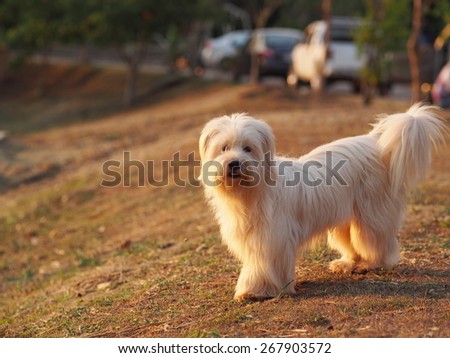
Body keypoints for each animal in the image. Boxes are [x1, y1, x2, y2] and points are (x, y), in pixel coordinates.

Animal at [200, 105, 446, 300]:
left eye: (248, 148)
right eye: (224, 147)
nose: (234, 163)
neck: (250, 192)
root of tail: (375, 142)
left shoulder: (272, 239)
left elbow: (264, 266)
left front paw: (257, 290)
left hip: (371, 212)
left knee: (377, 240)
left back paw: (371, 263)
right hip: (347, 218)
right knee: (353, 242)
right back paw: (346, 263)